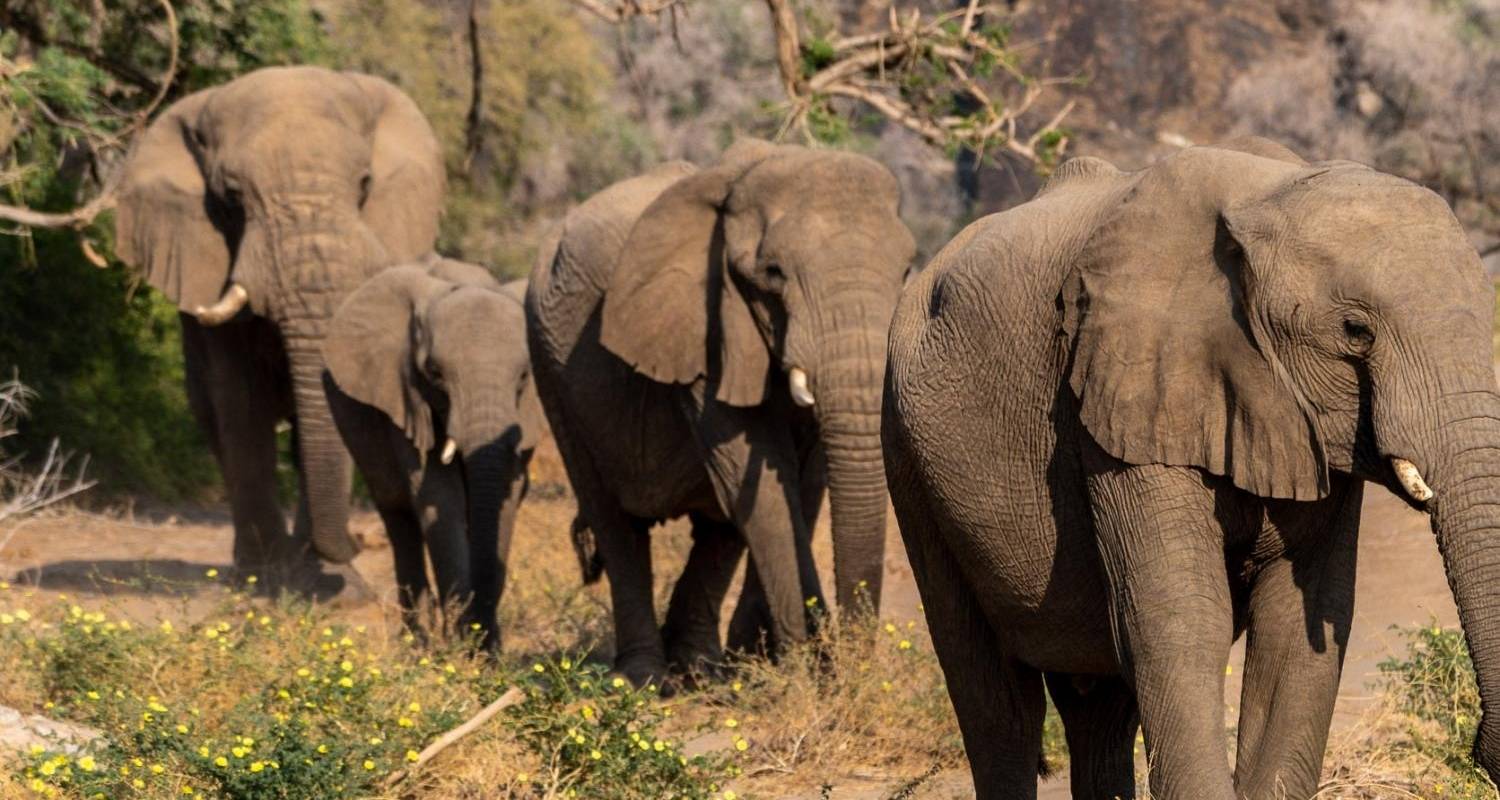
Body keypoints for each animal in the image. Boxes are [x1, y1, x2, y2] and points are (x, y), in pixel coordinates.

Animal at [113, 65, 441, 585]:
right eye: (231, 198)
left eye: (365, 184)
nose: (358, 541)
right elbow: (242, 402)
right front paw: (268, 575)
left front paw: (328, 578)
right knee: (214, 419)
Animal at [322, 258, 546, 651]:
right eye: (435, 373)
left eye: (523, 376)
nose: (480, 638)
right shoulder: (405, 400)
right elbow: (439, 496)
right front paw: (462, 646)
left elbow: (505, 499)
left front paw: (486, 650)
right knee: (398, 516)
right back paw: (417, 644)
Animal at [534, 138, 918, 687]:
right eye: (773, 274)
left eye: (906, 271)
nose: (845, 663)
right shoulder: (707, 325)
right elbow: (767, 483)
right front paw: (799, 664)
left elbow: (802, 482)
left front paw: (781, 661)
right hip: (550, 365)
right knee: (615, 522)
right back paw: (647, 677)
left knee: (717, 526)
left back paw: (700, 669)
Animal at [876, 138, 1500, 798]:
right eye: (1356, 332)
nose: (1477, 745)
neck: (1268, 196)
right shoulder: (1121, 392)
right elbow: (1179, 623)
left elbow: (1296, 633)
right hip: (907, 449)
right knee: (995, 697)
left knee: (1098, 707)